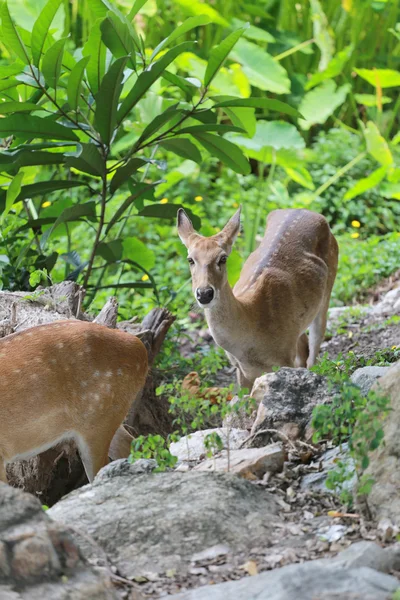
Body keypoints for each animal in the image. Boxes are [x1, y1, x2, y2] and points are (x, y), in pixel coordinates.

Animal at [177, 209, 338, 392]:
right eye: (190, 259)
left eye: (223, 258)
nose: (204, 293)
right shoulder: (239, 368)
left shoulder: (284, 359)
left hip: (329, 284)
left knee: (315, 348)